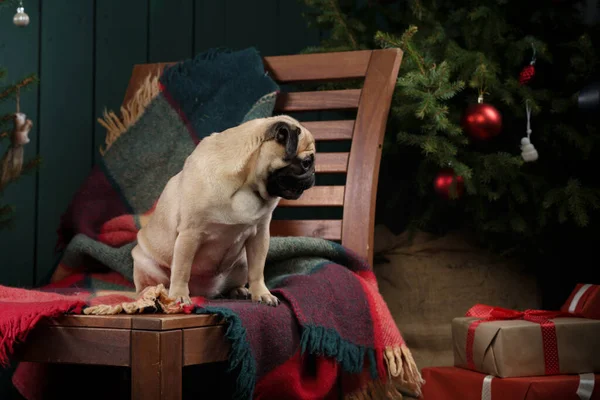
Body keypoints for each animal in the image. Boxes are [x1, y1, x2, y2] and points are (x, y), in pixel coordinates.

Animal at [131, 115, 316, 306]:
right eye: (306, 163)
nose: (313, 175)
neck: (246, 186)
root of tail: (203, 292)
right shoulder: (190, 234)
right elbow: (182, 270)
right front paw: (179, 295)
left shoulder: (260, 236)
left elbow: (257, 271)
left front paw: (262, 293)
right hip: (145, 263)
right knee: (147, 286)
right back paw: (153, 293)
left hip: (242, 263)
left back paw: (239, 291)